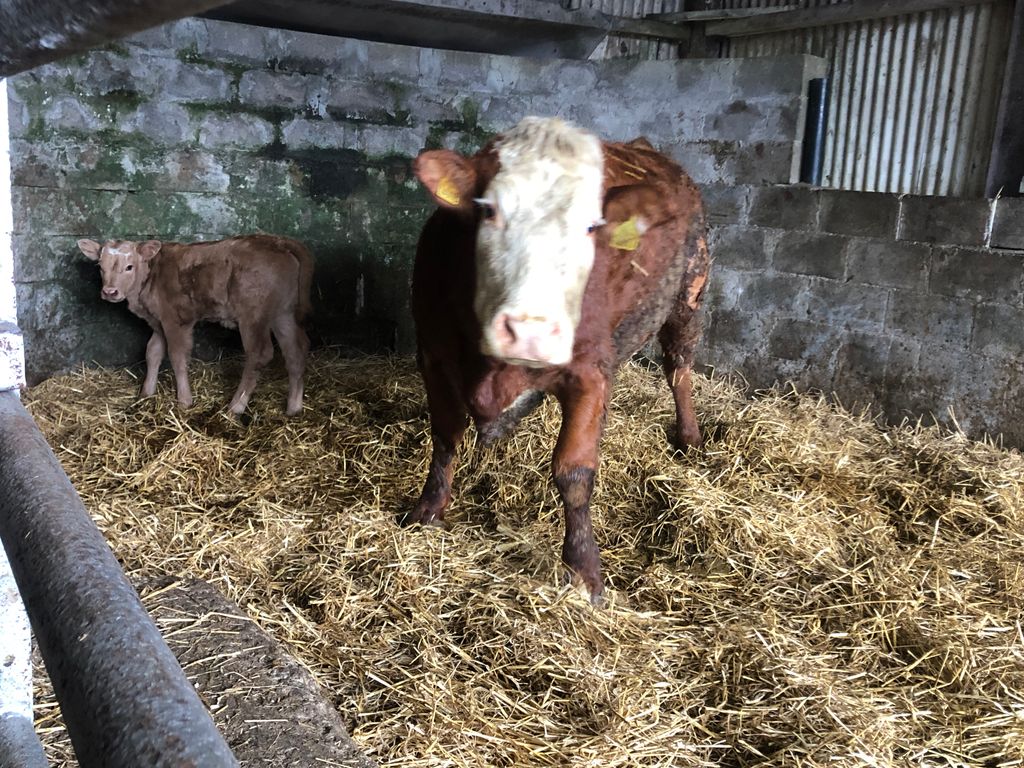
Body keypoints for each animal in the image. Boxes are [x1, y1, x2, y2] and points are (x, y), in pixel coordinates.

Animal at [77, 234, 313, 417]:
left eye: (129, 267)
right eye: (100, 267)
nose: (110, 292)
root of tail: (279, 241)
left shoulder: (175, 320)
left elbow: (177, 356)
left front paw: (184, 401)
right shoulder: (158, 322)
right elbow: (153, 352)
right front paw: (146, 393)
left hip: (253, 316)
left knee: (260, 354)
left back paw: (235, 407)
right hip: (283, 313)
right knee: (295, 351)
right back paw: (294, 408)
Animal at [405, 116, 710, 603]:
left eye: (591, 227)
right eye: (489, 211)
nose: (529, 330)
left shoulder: (589, 371)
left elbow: (574, 472)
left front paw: (583, 570)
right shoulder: (433, 353)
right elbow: (445, 438)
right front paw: (428, 510)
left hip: (690, 296)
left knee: (679, 368)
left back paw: (690, 437)